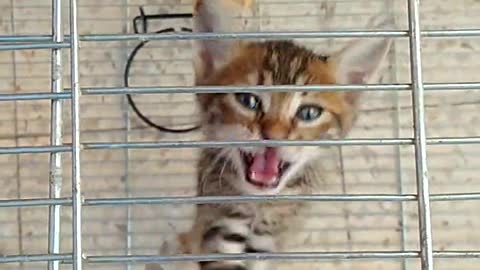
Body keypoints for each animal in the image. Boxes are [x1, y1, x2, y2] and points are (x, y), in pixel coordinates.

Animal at [174, 0, 392, 270]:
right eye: (247, 101)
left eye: (309, 112)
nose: (274, 135)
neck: (261, 207)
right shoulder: (218, 224)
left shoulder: (268, 243)